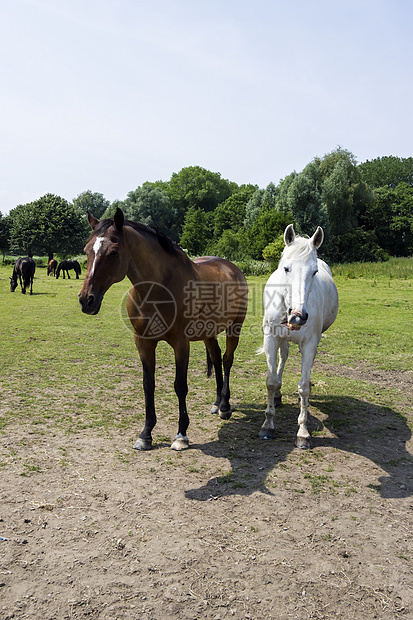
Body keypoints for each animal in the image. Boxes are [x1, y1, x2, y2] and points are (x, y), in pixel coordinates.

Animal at [78, 208, 246, 450]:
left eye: (114, 252)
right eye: (86, 250)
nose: (86, 300)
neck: (158, 289)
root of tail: (232, 268)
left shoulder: (181, 344)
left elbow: (180, 386)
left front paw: (181, 435)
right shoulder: (144, 342)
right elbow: (148, 385)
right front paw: (146, 434)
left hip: (235, 327)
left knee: (226, 360)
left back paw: (224, 406)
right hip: (208, 332)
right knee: (215, 358)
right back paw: (216, 403)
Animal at [258, 225, 338, 448]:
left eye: (314, 272)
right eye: (286, 268)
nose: (298, 316)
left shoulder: (310, 343)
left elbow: (303, 387)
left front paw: (303, 432)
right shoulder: (271, 338)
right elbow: (271, 380)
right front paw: (268, 426)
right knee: (283, 358)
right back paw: (277, 396)